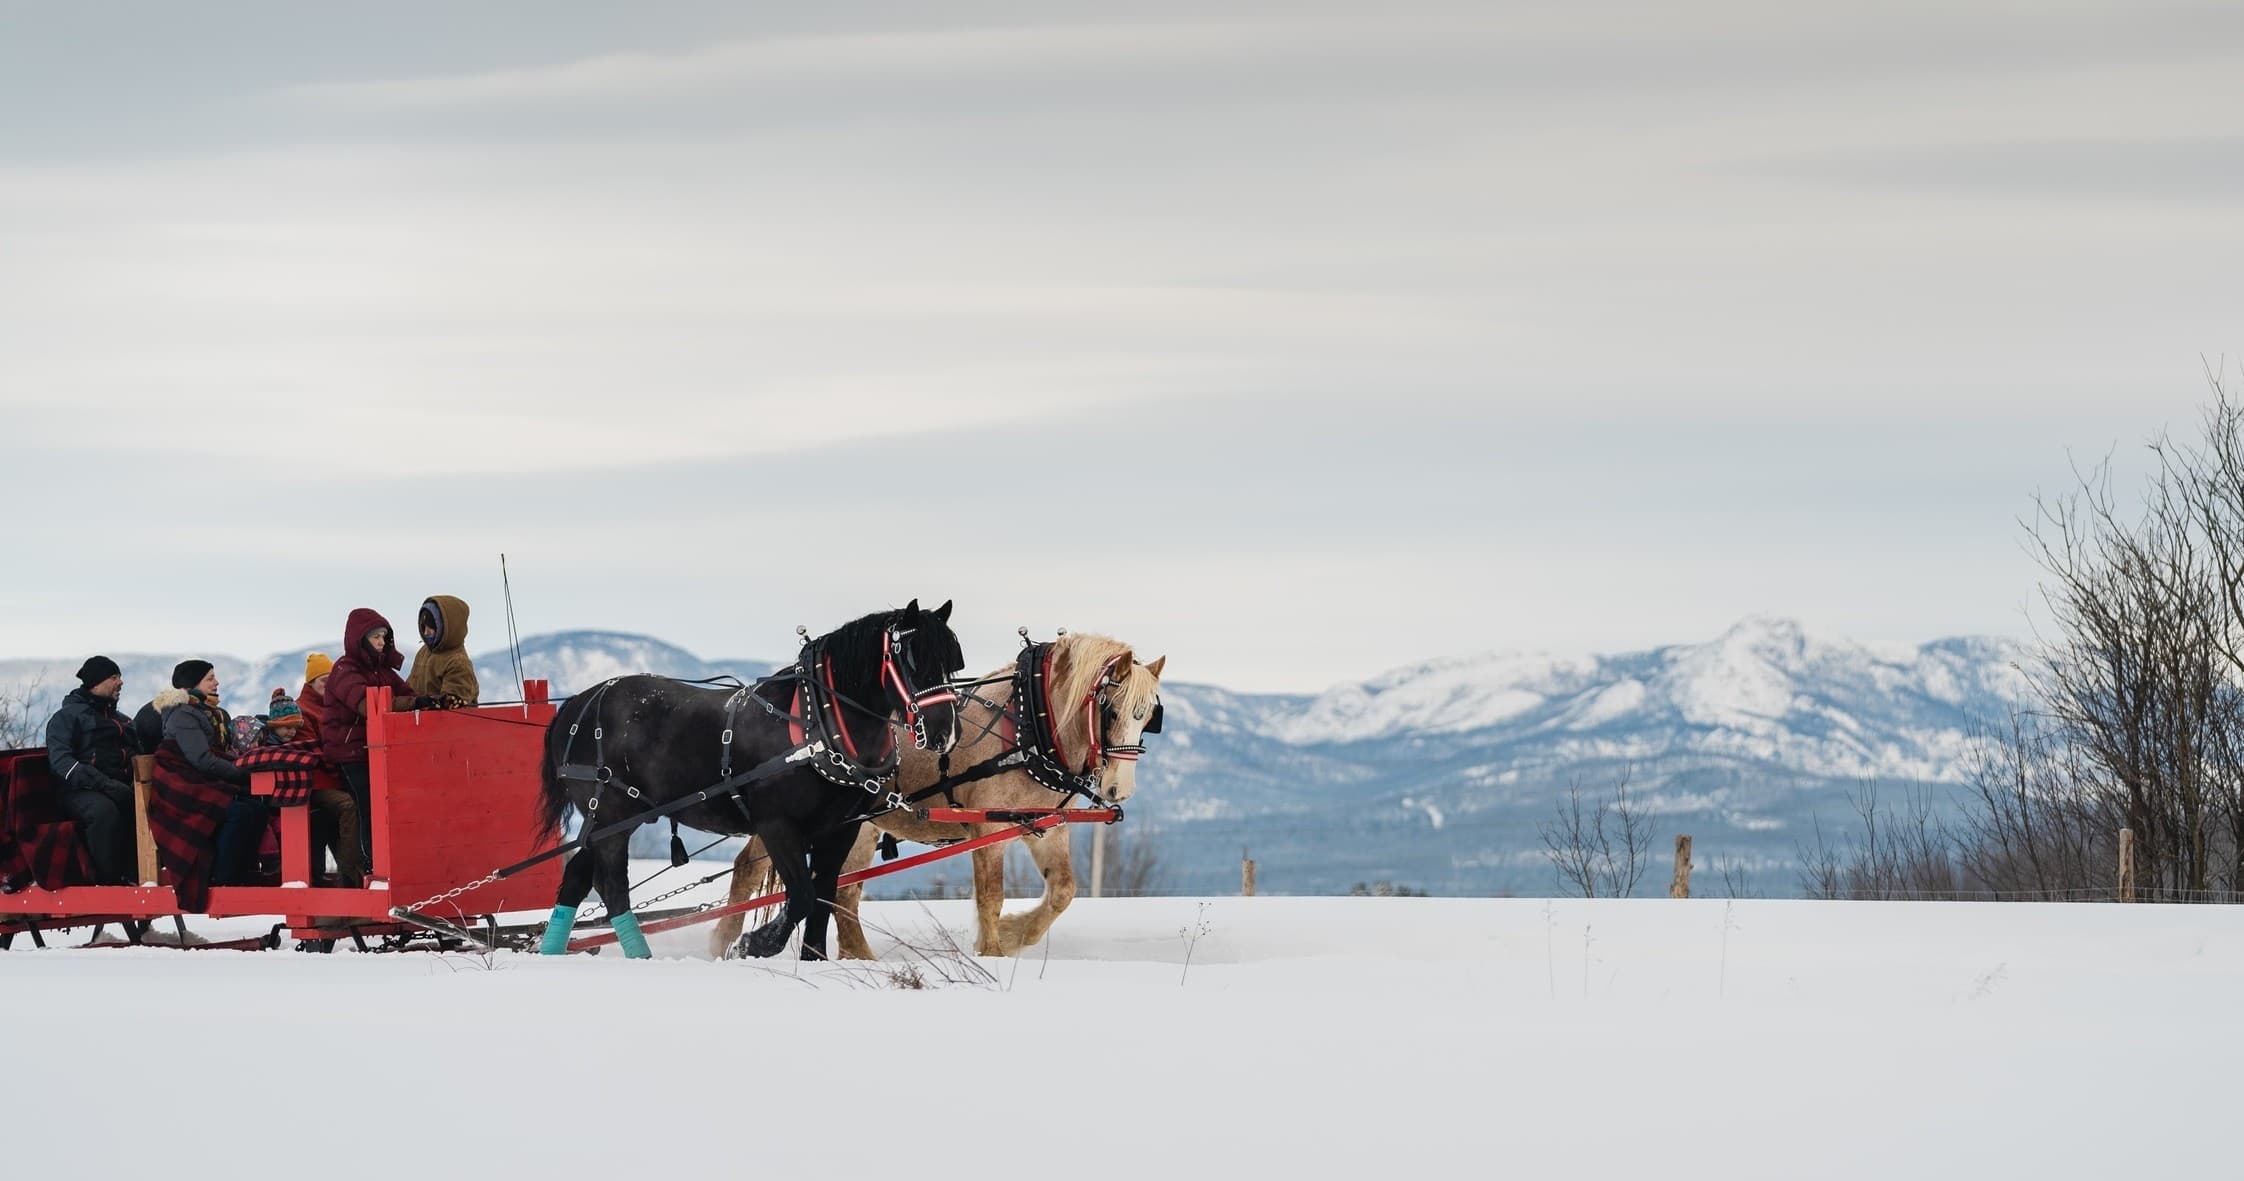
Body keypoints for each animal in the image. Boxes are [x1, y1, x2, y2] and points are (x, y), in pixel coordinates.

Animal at [534, 600, 965, 960]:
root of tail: (577, 703)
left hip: (608, 819)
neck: (818, 722)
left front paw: (814, 960)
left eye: (952, 664)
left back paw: (553, 952)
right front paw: (756, 943)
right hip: (612, 814)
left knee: (576, 877)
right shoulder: (776, 824)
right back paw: (640, 956)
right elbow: (802, 895)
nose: (945, 732)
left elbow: (823, 897)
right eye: (910, 659)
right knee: (611, 885)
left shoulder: (839, 828)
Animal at [710, 632, 1165, 959]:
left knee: (842, 890)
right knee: (748, 868)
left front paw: (1014, 935)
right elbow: (991, 897)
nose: (1119, 789)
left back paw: (860, 958)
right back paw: (722, 942)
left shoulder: (1047, 827)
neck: (1027, 724)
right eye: (1110, 710)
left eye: (1148, 718)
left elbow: (1063, 891)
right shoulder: (987, 827)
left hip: (859, 828)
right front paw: (993, 952)